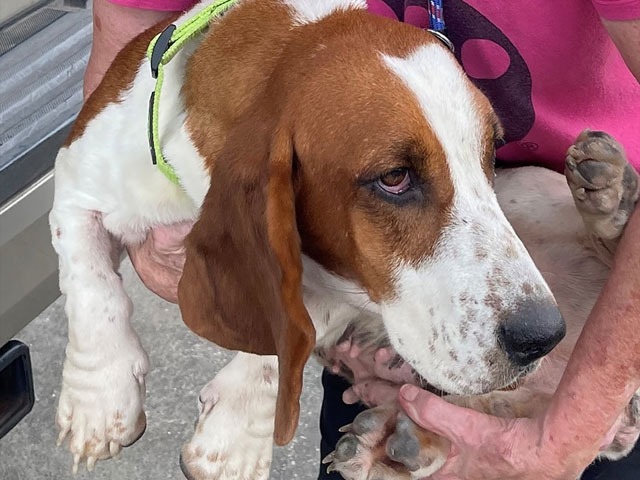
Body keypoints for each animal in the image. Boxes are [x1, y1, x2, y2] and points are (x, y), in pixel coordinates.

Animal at [48, 0, 640, 478]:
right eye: (395, 177)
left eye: (491, 153)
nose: (543, 337)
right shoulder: (78, 180)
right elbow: (93, 290)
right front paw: (100, 402)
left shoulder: (342, 288)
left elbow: (285, 334)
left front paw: (233, 435)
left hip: (529, 189)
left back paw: (611, 199)